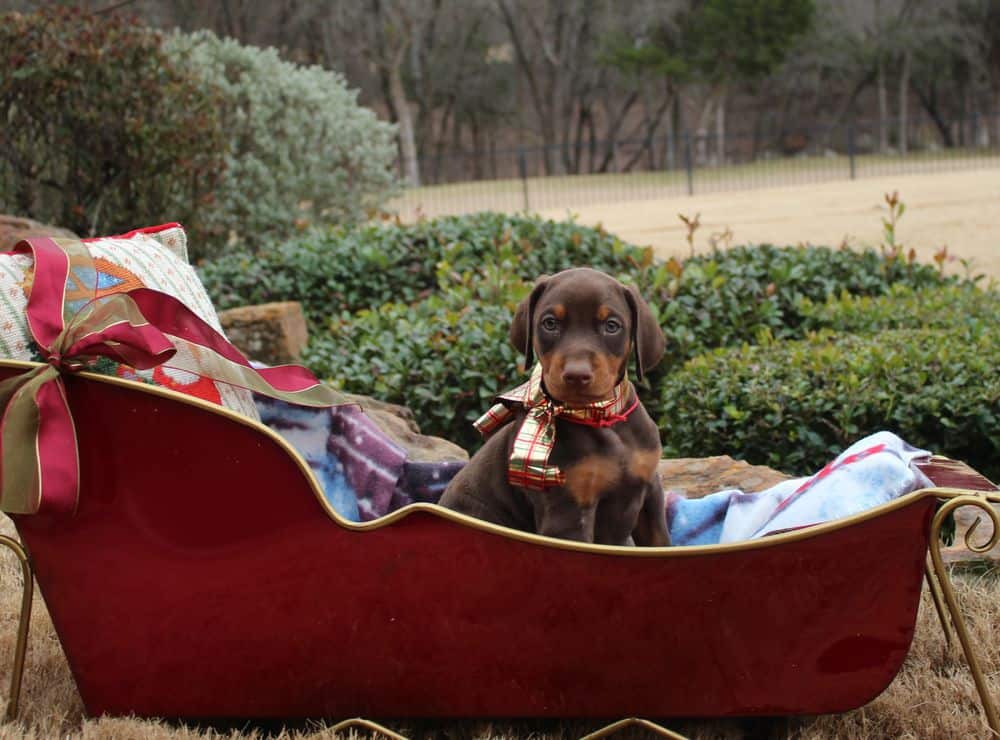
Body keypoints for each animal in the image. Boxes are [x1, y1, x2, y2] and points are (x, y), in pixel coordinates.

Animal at [440, 268, 668, 548]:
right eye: (550, 323)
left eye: (611, 326)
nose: (576, 375)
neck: (598, 414)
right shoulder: (567, 510)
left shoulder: (650, 489)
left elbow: (662, 542)